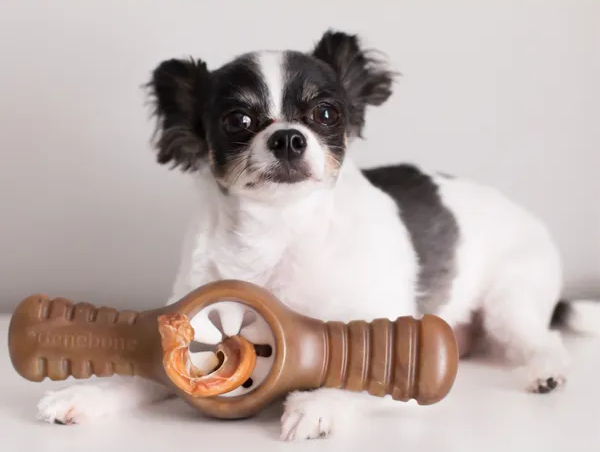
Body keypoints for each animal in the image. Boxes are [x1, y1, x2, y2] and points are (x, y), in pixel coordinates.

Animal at [37, 29, 600, 442]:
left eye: (326, 114)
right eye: (238, 120)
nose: (288, 137)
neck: (277, 236)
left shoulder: (385, 330)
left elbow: (369, 372)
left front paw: (319, 403)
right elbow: (138, 373)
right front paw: (83, 394)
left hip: (510, 303)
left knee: (544, 339)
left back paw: (546, 372)